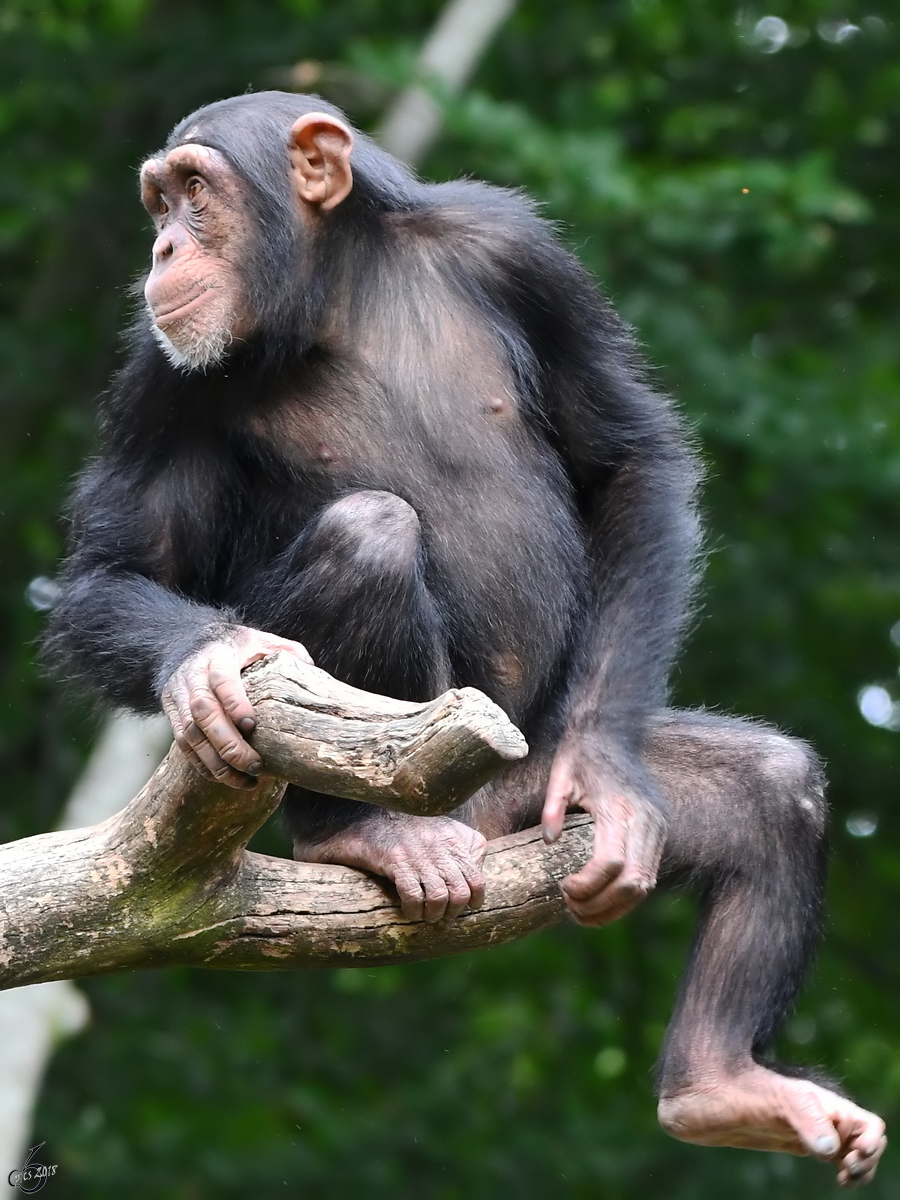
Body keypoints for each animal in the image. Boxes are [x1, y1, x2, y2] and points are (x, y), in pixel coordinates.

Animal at [49, 91, 888, 1180]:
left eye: (194, 192)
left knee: (771, 791)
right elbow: (111, 572)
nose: (161, 247)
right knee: (370, 537)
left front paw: (609, 776)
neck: (339, 292)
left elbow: (628, 456)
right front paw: (211, 664)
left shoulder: (523, 257)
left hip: (529, 786)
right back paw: (366, 830)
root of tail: (481, 817)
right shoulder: (160, 373)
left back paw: (720, 1087)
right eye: (160, 200)